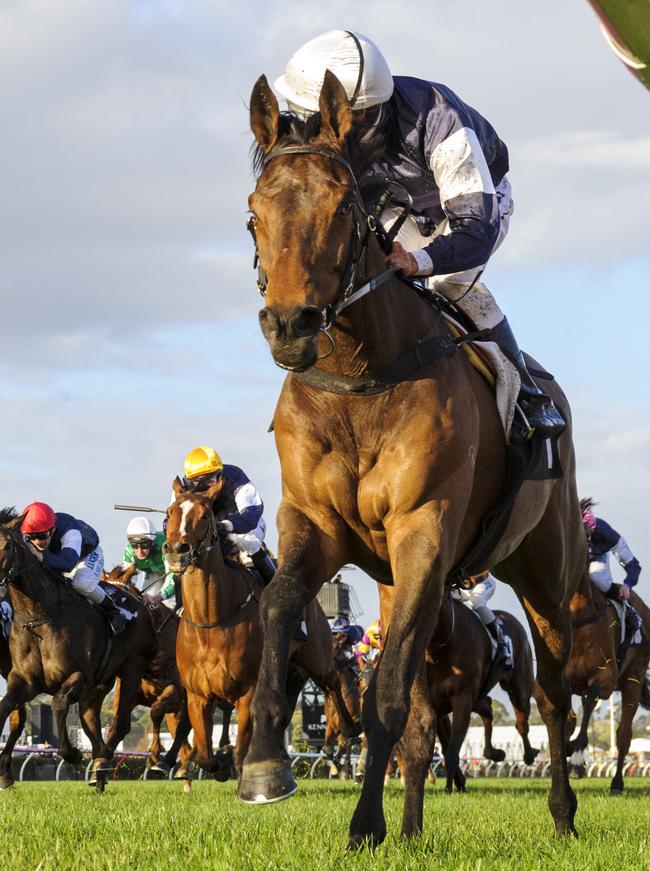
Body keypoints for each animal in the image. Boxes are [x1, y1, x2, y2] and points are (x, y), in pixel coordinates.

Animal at [0, 508, 156, 792]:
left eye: (7, 545)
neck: (39, 617)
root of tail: (139, 599)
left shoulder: (78, 676)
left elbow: (58, 704)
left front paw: (71, 753)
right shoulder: (23, 680)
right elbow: (6, 708)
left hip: (132, 667)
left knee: (119, 724)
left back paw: (101, 765)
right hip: (101, 683)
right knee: (90, 719)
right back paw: (98, 769)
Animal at [162, 480, 360, 780]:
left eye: (205, 515)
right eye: (169, 512)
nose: (177, 549)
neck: (212, 621)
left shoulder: (248, 691)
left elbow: (241, 749)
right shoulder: (198, 695)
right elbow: (205, 754)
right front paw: (219, 762)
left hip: (316, 656)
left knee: (333, 682)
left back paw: (350, 729)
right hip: (290, 670)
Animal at [240, 71, 584, 848]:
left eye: (344, 208)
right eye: (253, 215)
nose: (290, 325)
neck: (361, 379)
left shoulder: (424, 527)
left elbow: (388, 696)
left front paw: (363, 824)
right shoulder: (316, 524)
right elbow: (276, 605)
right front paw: (266, 764)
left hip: (545, 571)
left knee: (552, 693)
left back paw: (562, 813)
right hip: (405, 584)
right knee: (430, 721)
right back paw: (414, 824)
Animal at [560, 580, 648, 796]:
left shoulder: (605, 680)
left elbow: (589, 699)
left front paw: (576, 761)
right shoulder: (565, 680)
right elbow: (569, 719)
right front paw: (566, 748)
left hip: (633, 680)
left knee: (623, 735)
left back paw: (617, 783)